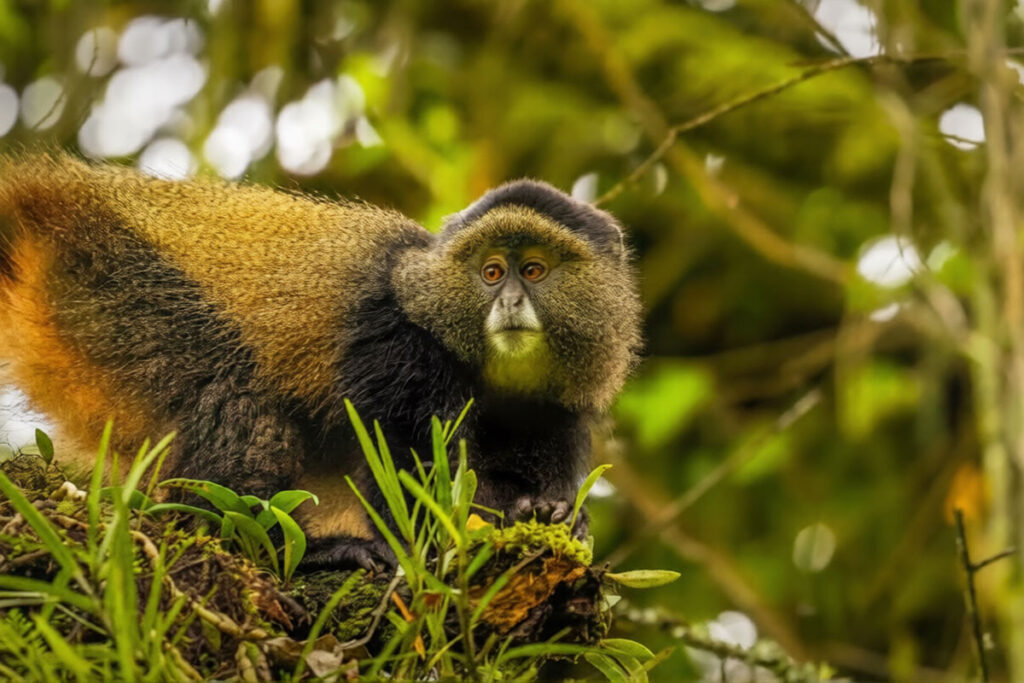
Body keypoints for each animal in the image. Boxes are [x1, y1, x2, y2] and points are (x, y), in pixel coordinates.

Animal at [0, 153, 642, 569]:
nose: (508, 301)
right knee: (240, 406)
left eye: (532, 269)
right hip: (111, 288)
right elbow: (404, 465)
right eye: (490, 272)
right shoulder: (396, 342)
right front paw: (495, 520)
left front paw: (556, 512)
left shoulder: (553, 404)